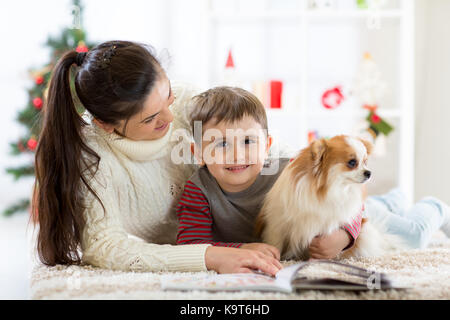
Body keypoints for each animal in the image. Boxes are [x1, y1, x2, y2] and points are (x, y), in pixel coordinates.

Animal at [255, 134, 406, 260]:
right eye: (352, 162)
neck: (328, 190)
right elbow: (276, 245)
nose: (369, 173)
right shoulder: (277, 224)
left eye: (365, 162)